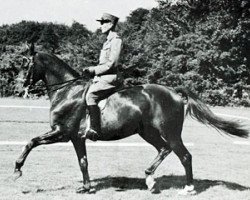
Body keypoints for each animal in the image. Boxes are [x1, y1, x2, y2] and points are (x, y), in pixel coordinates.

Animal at [13, 49, 248, 195]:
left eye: (27, 65)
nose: (20, 86)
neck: (67, 91)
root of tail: (173, 91)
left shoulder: (61, 132)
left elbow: (31, 142)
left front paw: (17, 169)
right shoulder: (75, 138)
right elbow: (83, 162)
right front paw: (87, 188)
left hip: (171, 133)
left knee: (184, 156)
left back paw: (188, 188)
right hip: (148, 132)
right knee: (164, 149)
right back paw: (150, 179)